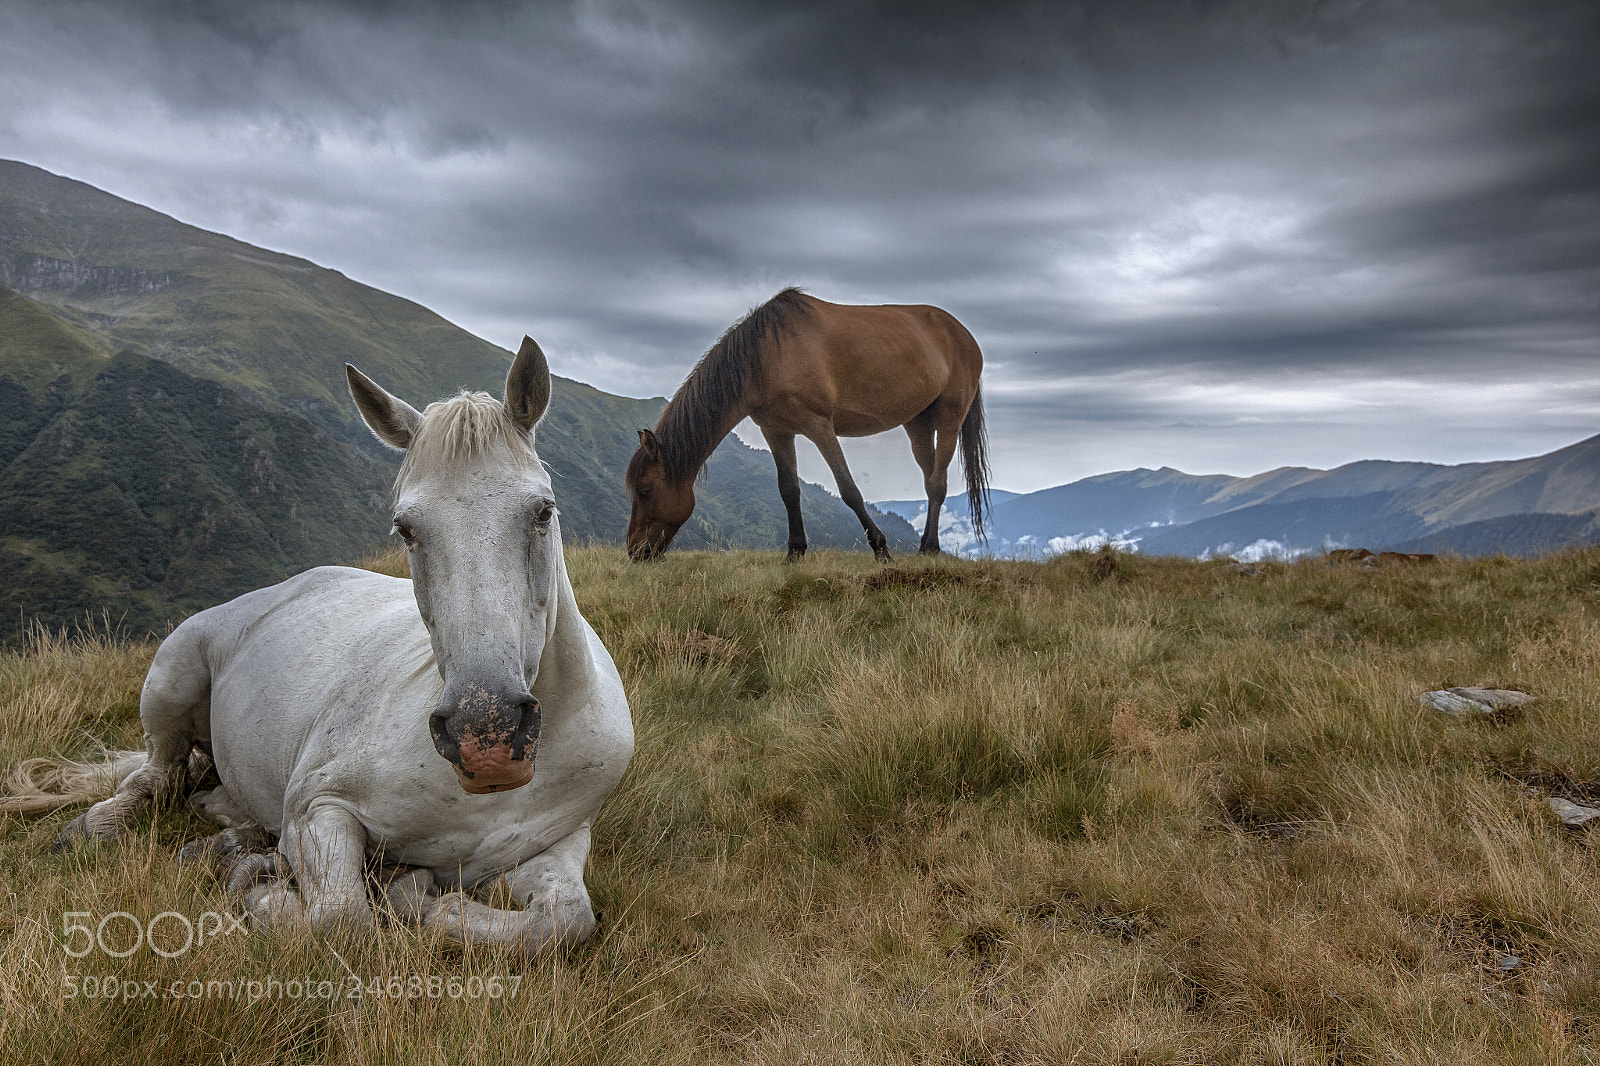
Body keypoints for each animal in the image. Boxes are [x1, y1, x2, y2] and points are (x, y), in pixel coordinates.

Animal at [18, 339, 633, 953]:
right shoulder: (319, 809)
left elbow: (562, 922)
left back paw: (230, 841)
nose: (487, 737)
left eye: (543, 511)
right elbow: (342, 917)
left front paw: (417, 896)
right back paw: (104, 827)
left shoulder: (556, 845)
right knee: (156, 776)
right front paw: (270, 895)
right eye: (406, 529)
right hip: (172, 676)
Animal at [624, 288, 990, 563]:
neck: (766, 355)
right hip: (917, 423)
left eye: (645, 491)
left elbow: (849, 490)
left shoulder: (820, 428)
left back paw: (928, 548)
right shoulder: (776, 431)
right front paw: (795, 552)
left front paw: (881, 549)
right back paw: (929, 545)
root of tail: (964, 335)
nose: (635, 552)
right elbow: (789, 490)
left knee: (937, 483)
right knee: (930, 479)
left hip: (950, 417)